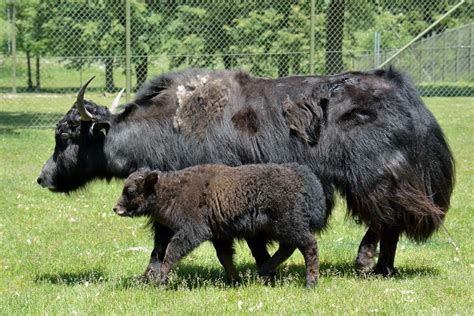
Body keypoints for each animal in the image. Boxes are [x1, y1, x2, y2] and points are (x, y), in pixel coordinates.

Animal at [113, 164, 328, 288]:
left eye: (130, 191)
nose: (116, 208)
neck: (172, 190)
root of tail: (301, 177)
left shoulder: (191, 232)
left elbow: (171, 252)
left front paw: (162, 281)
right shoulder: (219, 236)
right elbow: (224, 257)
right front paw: (235, 281)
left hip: (288, 226)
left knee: (309, 246)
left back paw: (310, 283)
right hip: (281, 229)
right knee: (288, 248)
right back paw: (264, 270)